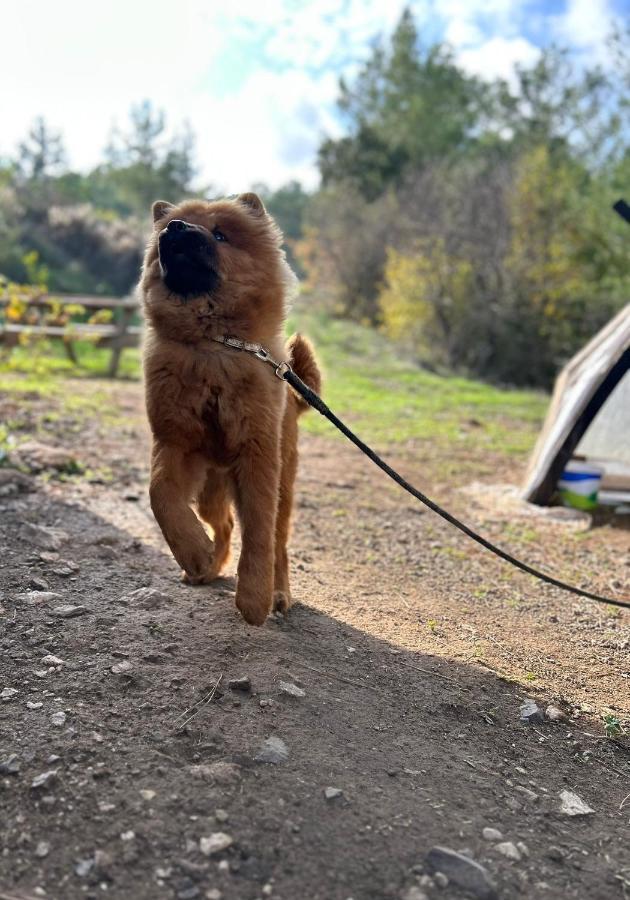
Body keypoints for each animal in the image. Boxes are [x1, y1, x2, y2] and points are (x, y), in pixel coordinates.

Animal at [141, 192, 324, 624]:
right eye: (171, 225)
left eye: (220, 234)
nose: (175, 228)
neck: (212, 346)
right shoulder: (174, 443)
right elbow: (161, 496)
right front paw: (193, 551)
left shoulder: (256, 457)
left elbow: (258, 535)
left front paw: (255, 598)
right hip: (210, 488)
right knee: (221, 523)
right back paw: (206, 565)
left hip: (281, 485)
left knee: (278, 542)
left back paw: (278, 592)